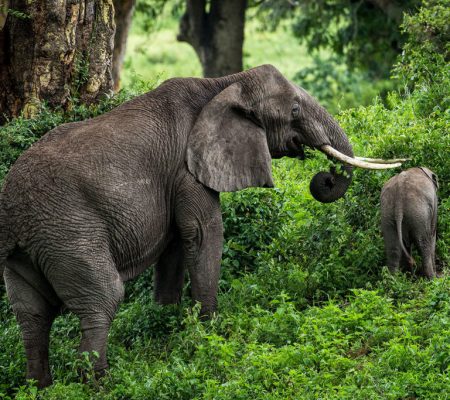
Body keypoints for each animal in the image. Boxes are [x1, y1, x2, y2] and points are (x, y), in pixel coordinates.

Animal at [0, 65, 400, 388]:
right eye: (295, 110)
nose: (325, 178)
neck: (224, 84)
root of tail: (12, 210)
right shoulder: (187, 169)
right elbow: (204, 233)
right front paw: (211, 332)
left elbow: (176, 246)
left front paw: (168, 323)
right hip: (68, 230)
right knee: (103, 298)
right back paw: (98, 383)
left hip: (32, 246)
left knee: (32, 313)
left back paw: (39, 387)